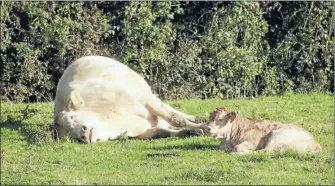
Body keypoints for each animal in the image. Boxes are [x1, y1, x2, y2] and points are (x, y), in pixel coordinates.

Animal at [51, 56, 207, 143]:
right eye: (73, 137)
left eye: (72, 116)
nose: (83, 134)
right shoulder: (136, 133)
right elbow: (162, 131)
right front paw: (190, 132)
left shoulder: (145, 100)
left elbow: (176, 119)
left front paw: (203, 126)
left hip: (148, 93)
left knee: (172, 111)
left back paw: (199, 119)